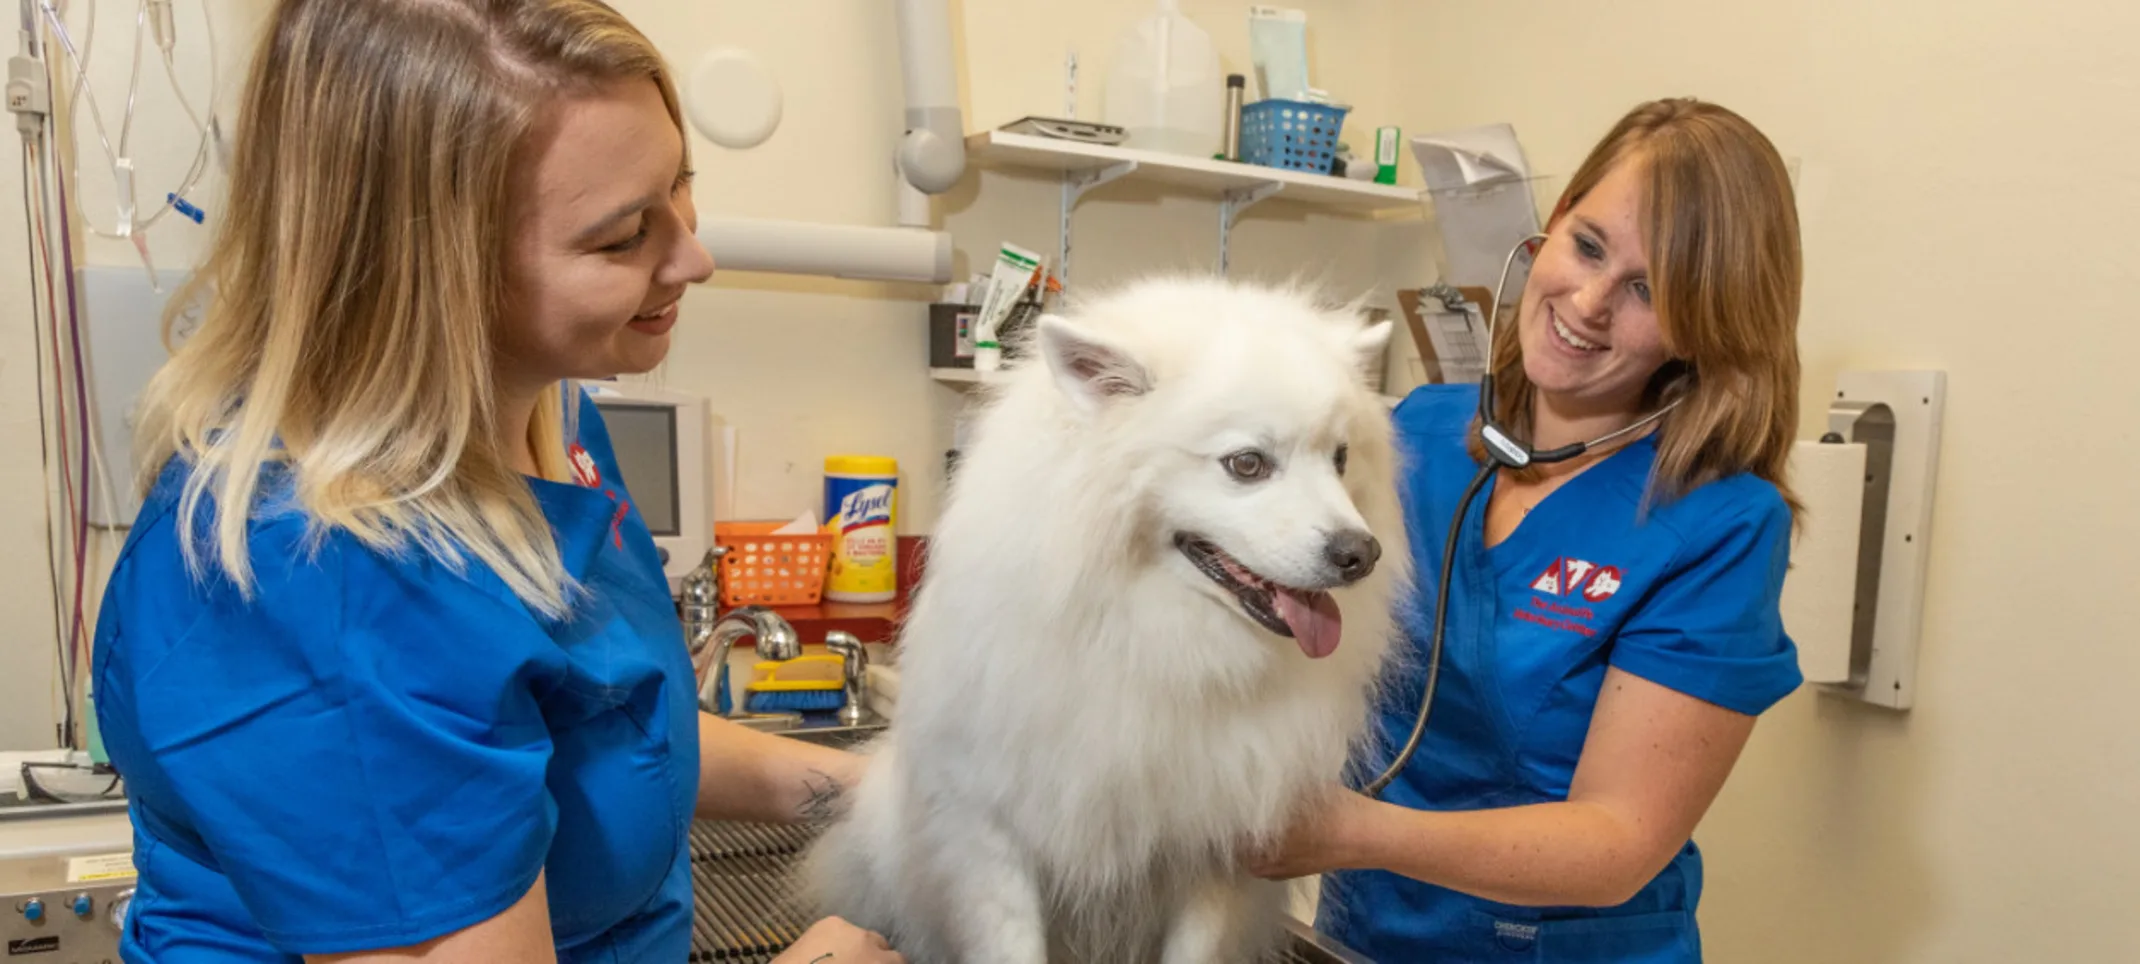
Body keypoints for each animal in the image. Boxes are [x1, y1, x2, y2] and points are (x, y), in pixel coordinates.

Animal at [804, 276, 1403, 964]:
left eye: (1340, 458)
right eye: (1247, 464)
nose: (1361, 554)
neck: (1152, 637)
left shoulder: (1215, 844)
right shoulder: (990, 834)